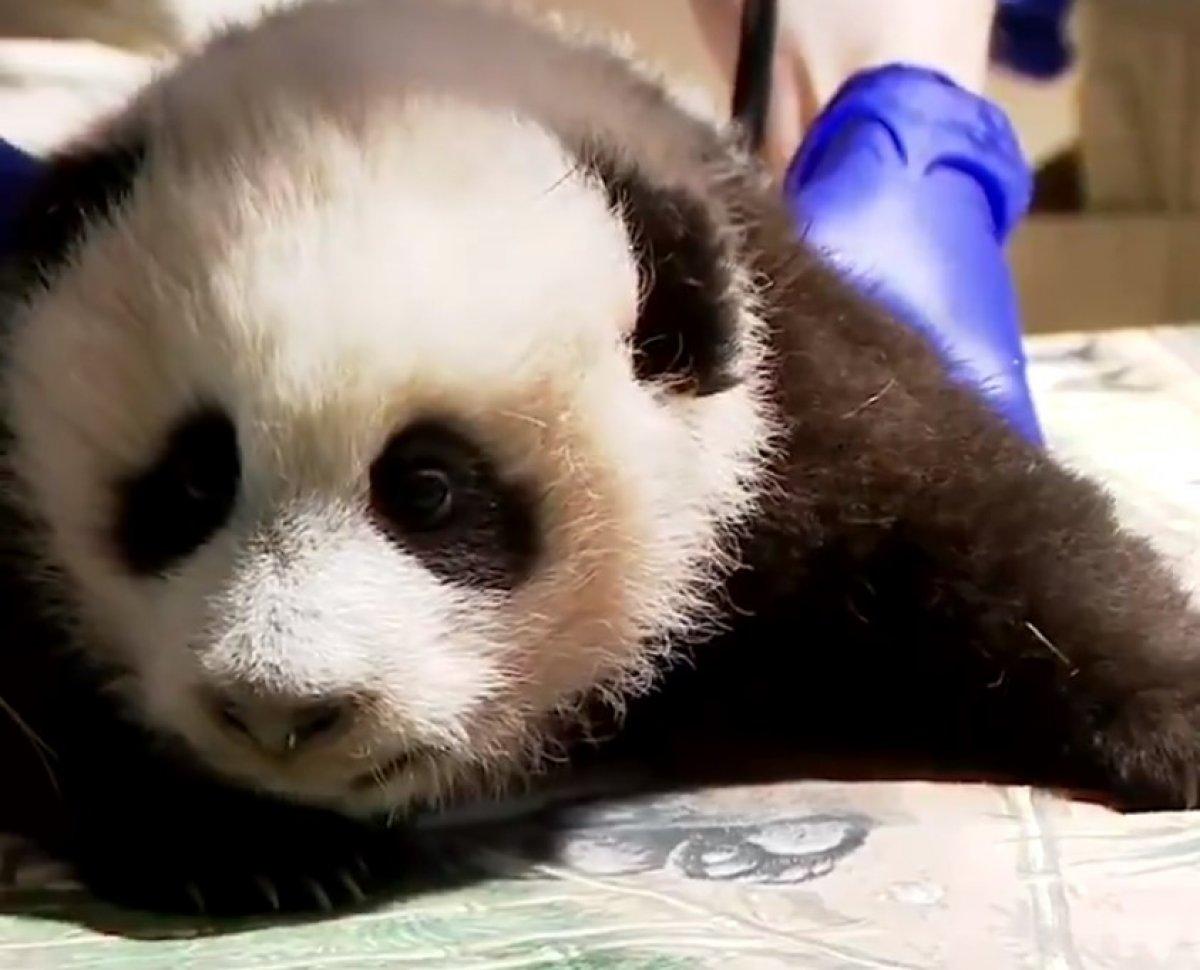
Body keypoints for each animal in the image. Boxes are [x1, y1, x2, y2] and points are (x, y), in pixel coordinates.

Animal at [1, 0, 1198, 915]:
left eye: (429, 491)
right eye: (192, 481)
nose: (280, 711)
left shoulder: (777, 383)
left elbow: (972, 520)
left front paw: (1174, 716)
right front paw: (250, 846)